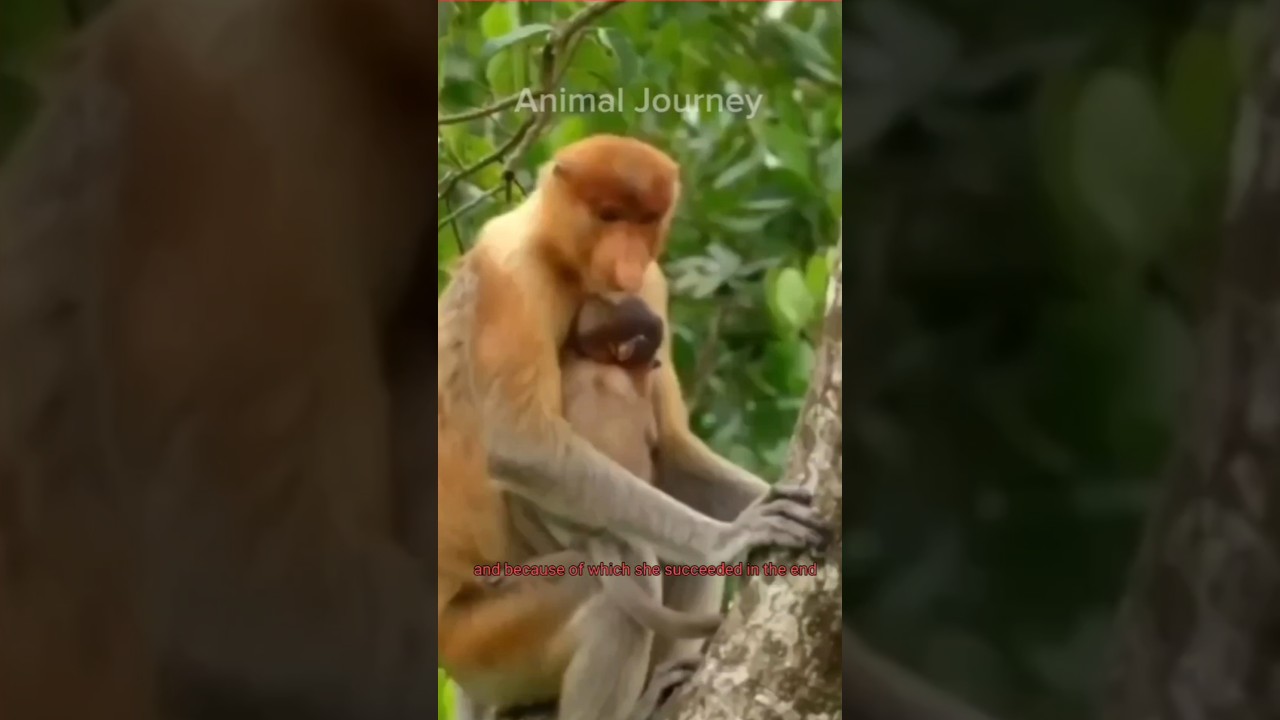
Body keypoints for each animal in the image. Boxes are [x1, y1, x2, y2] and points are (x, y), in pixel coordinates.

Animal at [436, 134, 830, 720]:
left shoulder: (652, 283)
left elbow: (674, 448)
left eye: (646, 220)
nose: (626, 260)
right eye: (608, 215)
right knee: (611, 601)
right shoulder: (512, 277)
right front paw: (733, 535)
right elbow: (520, 447)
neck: (559, 252)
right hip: (481, 639)